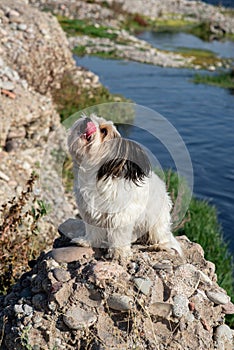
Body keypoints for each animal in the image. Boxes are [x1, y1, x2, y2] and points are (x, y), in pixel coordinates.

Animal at [66, 113, 182, 258]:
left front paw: (118, 251)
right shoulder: (89, 213)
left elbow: (119, 234)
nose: (87, 120)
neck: (95, 177)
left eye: (104, 131)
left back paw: (159, 246)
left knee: (162, 237)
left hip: (157, 222)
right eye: (92, 118)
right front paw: (87, 241)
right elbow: (93, 231)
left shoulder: (121, 216)